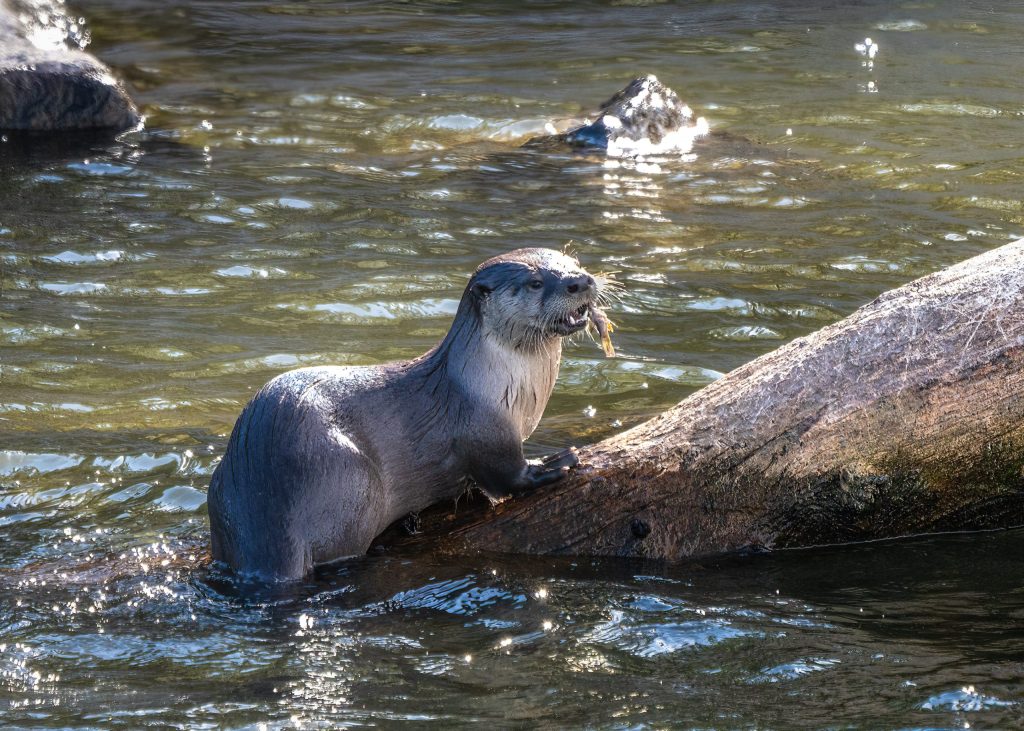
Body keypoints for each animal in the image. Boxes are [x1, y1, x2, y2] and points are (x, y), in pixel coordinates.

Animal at [208, 248, 608, 582]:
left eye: (574, 262)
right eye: (535, 282)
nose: (580, 281)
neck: (502, 387)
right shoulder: (486, 430)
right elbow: (508, 475)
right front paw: (553, 463)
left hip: (224, 488)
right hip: (353, 482)